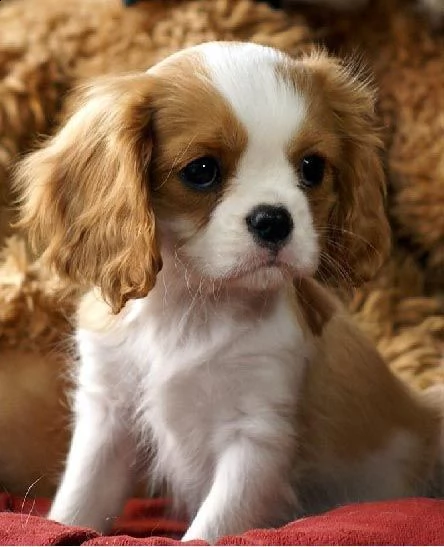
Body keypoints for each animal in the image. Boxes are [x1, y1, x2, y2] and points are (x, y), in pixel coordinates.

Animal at [15, 40, 442, 540]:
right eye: (202, 170)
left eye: (312, 168)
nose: (275, 219)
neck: (194, 304)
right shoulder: (109, 415)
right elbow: (77, 501)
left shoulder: (257, 437)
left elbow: (211, 527)